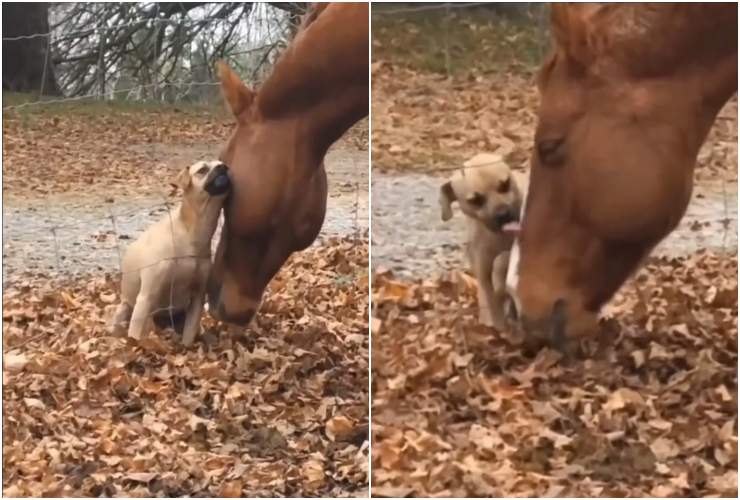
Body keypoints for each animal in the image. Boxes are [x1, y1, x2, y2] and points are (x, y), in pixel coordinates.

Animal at [110, 160, 230, 344]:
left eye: (221, 164)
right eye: (202, 170)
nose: (223, 167)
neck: (191, 234)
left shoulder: (198, 297)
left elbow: (189, 336)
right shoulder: (146, 297)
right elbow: (135, 334)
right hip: (126, 309)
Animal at [440, 154, 528, 330]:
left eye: (505, 184)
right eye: (475, 200)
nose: (503, 214)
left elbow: (503, 258)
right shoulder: (482, 268)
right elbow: (490, 299)